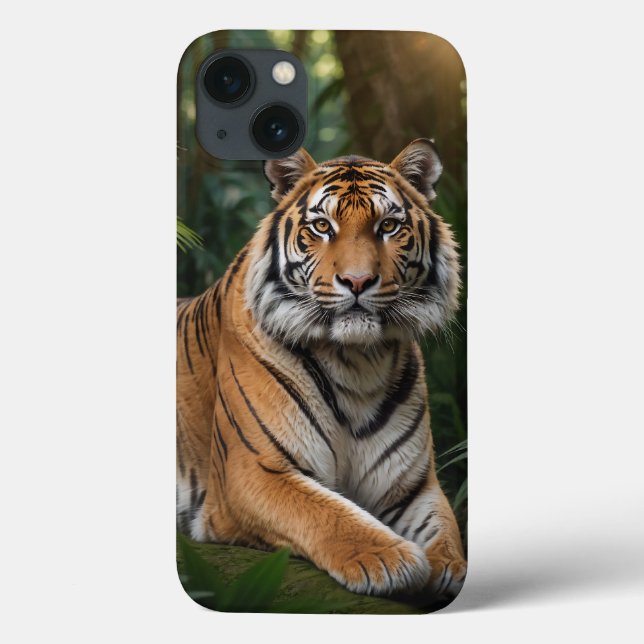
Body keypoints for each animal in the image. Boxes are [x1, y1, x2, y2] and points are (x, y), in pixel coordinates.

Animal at [176, 139, 466, 600]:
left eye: (388, 226)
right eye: (322, 227)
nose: (358, 281)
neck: (358, 362)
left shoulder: (412, 486)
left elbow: (445, 530)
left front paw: (446, 570)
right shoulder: (254, 471)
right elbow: (324, 511)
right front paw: (391, 559)